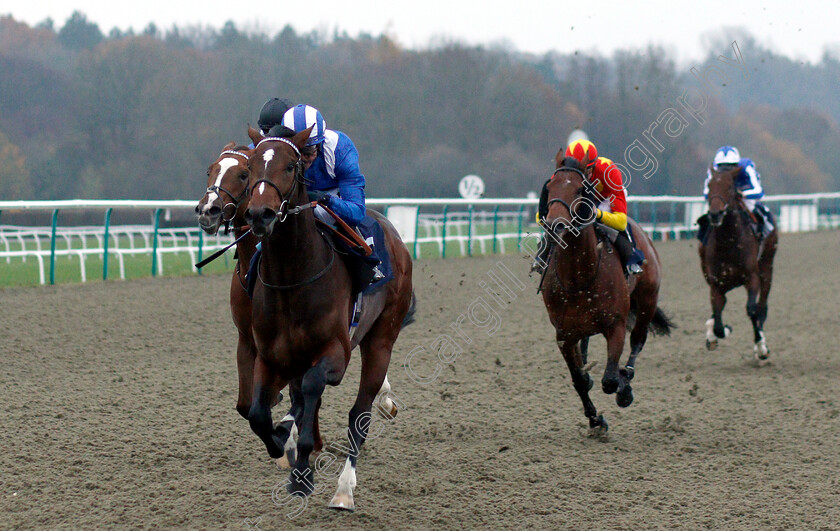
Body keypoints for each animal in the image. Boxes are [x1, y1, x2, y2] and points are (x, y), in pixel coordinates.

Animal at [540, 152, 672, 434]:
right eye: (550, 187)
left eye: (579, 190)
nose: (556, 226)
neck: (579, 276)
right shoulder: (563, 335)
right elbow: (578, 380)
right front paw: (595, 420)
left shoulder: (616, 325)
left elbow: (610, 379)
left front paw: (622, 389)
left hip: (647, 301)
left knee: (638, 341)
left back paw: (627, 379)